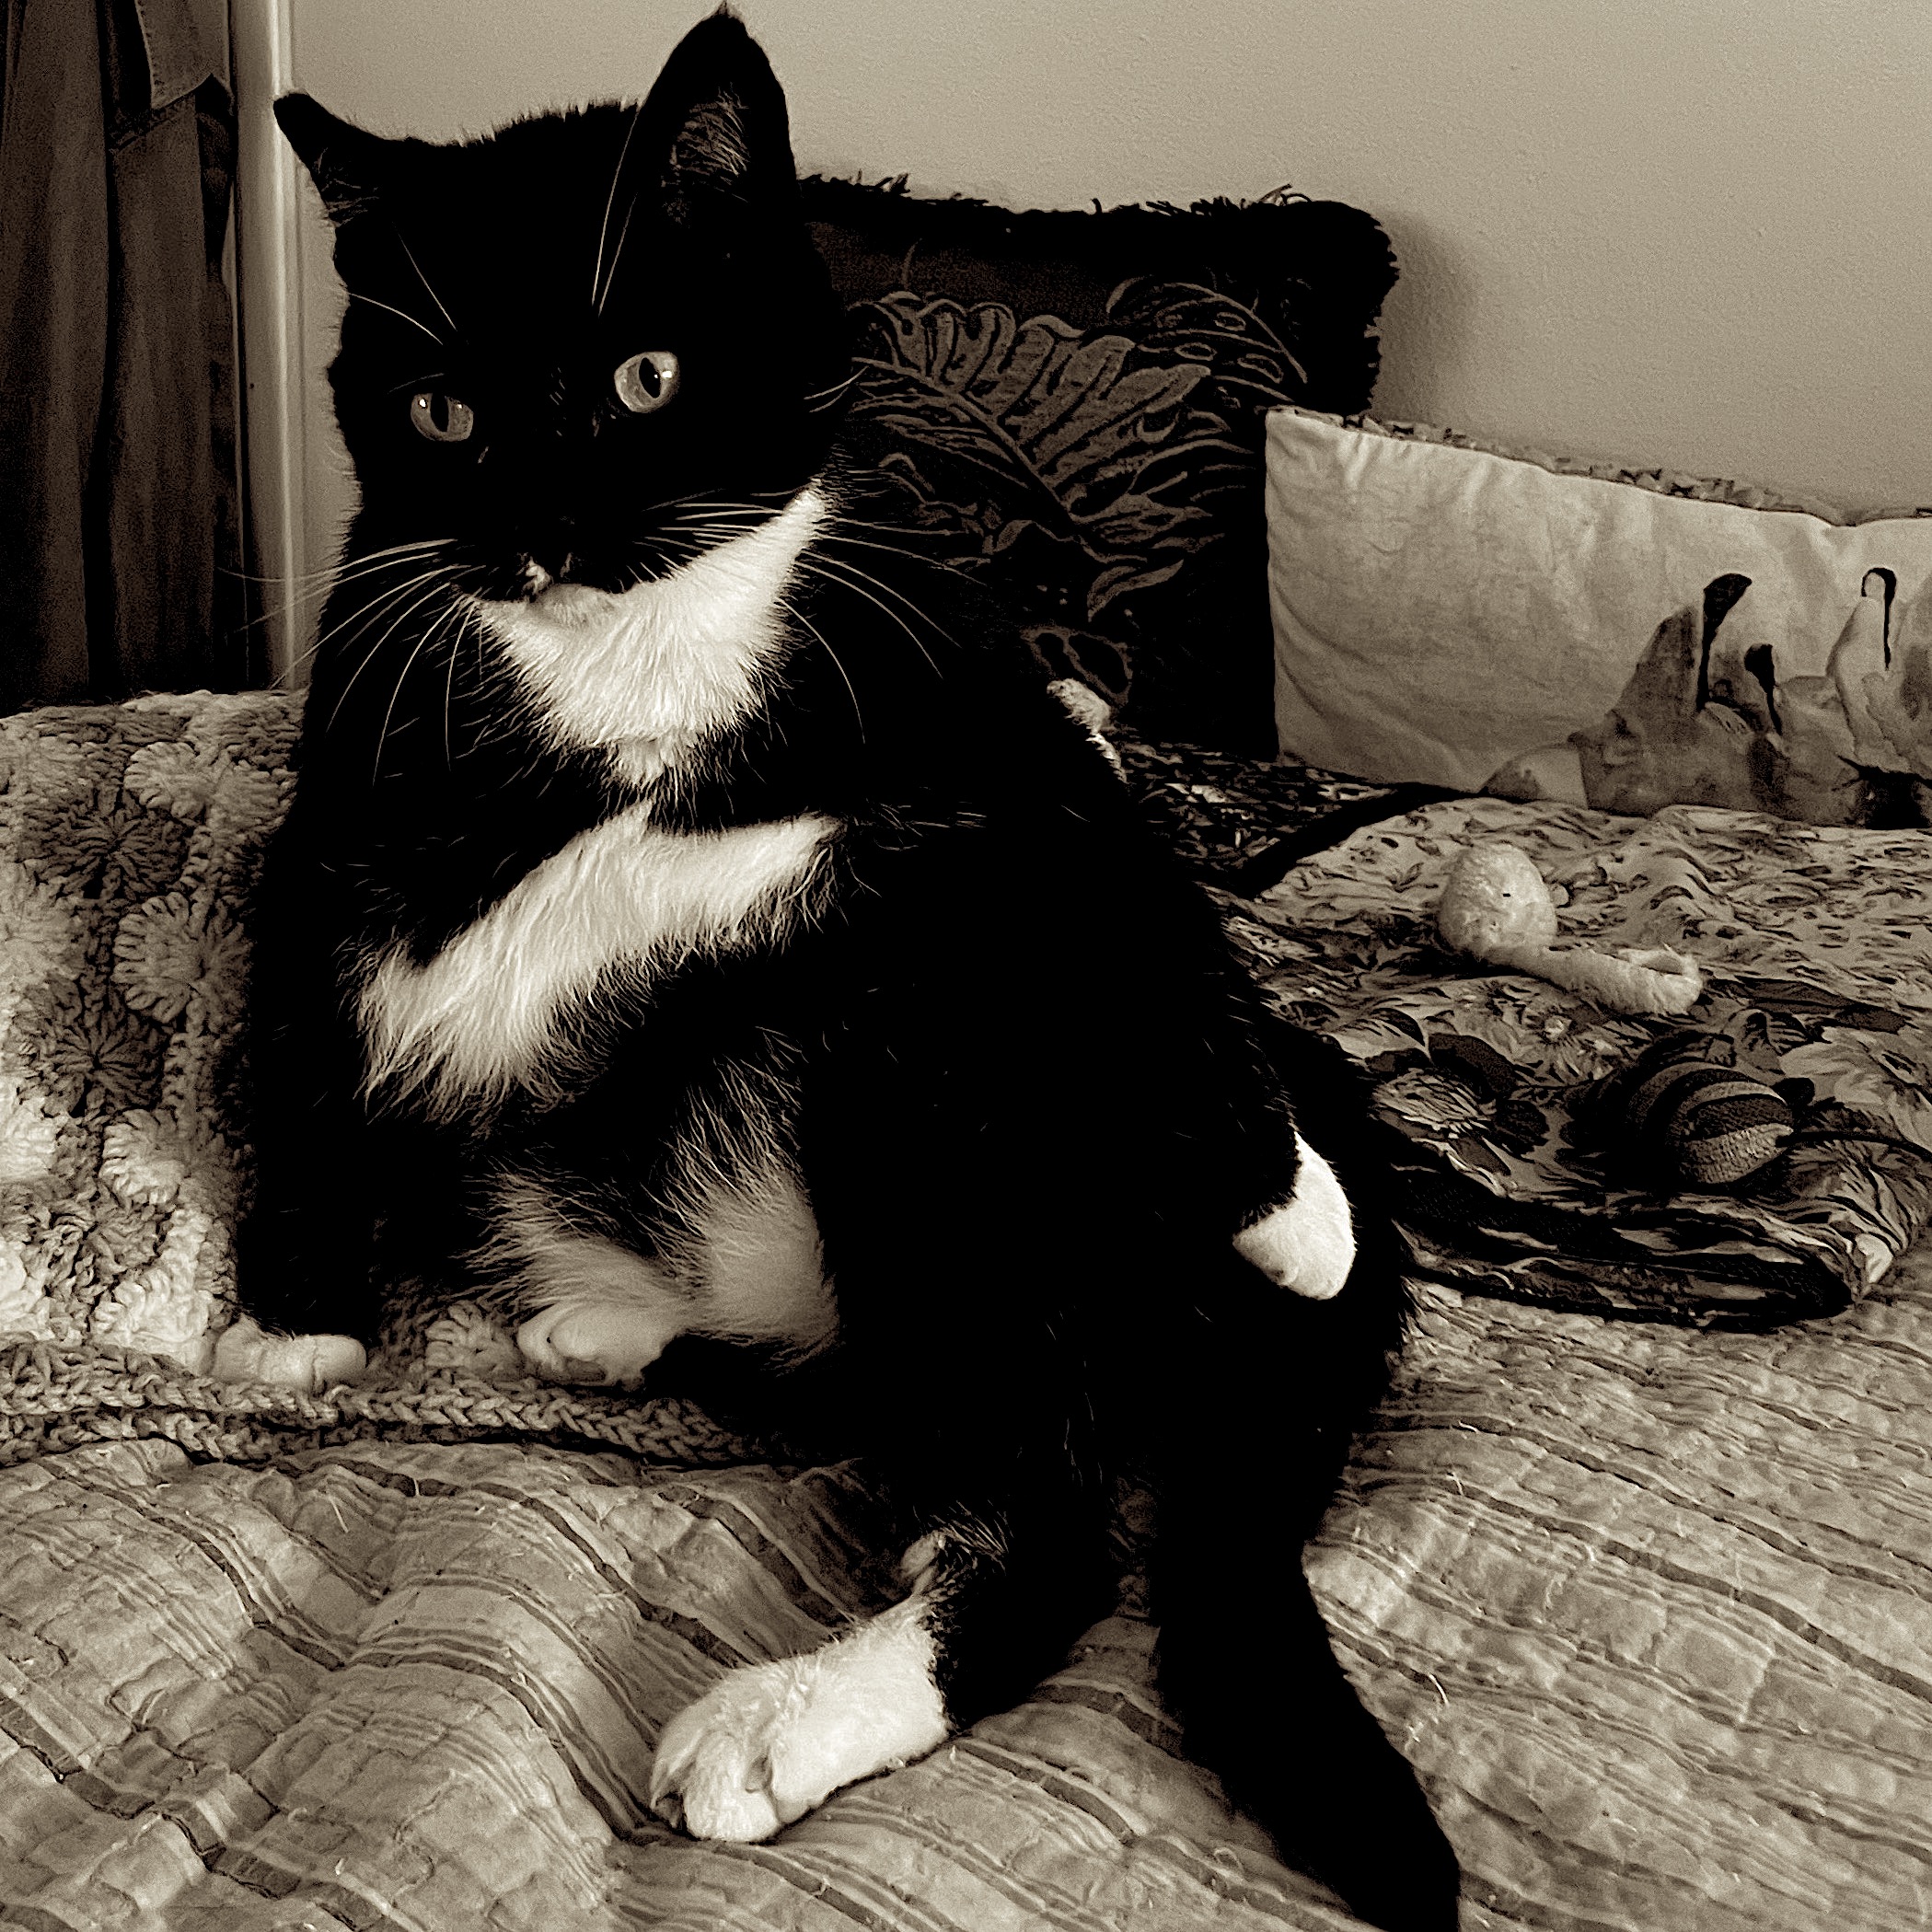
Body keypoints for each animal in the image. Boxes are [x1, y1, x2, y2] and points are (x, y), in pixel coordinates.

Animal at [226, 18, 1452, 1932]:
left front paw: (1289, 1196)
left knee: (1041, 1517)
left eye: (646, 375)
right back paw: (616, 1327)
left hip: (936, 1089)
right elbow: (307, 1023)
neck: (636, 671)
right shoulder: (352, 780)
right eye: (442, 413)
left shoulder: (994, 728)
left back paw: (785, 1706)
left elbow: (1146, 907)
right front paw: (295, 1319)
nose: (544, 530)